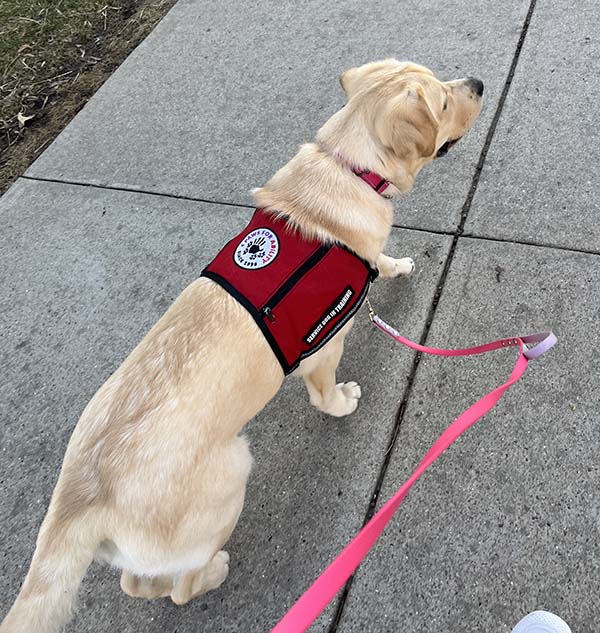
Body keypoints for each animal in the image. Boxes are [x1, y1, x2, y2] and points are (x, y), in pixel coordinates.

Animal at [0, 59, 482, 632]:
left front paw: (398, 265)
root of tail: (78, 499)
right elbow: (326, 391)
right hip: (229, 477)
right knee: (179, 587)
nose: (479, 85)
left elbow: (381, 261)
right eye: (444, 103)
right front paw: (343, 402)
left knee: (135, 582)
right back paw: (215, 571)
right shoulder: (324, 345)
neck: (347, 166)